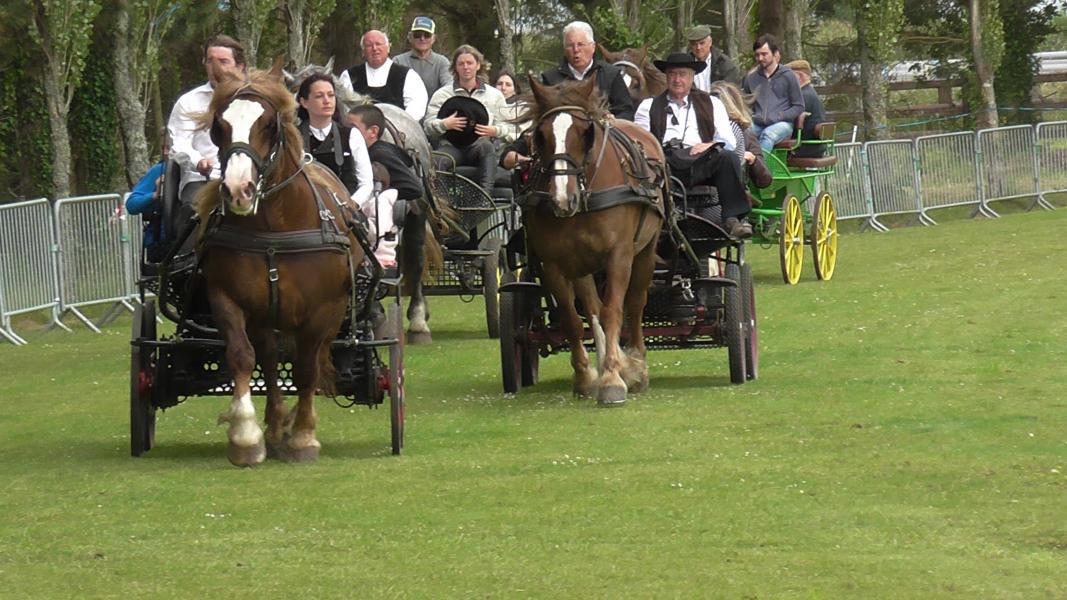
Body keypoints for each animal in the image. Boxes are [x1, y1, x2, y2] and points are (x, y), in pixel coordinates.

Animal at [195, 62, 371, 465]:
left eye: (268, 124)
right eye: (219, 125)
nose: (238, 190)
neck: (274, 228)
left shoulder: (323, 309)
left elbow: (306, 370)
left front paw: (304, 436)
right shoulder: (227, 298)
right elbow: (243, 358)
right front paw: (246, 436)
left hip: (333, 313)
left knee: (313, 359)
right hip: (266, 316)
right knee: (271, 361)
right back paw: (275, 428)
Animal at [518, 74, 661, 401]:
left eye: (585, 132)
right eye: (540, 135)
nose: (562, 199)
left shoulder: (619, 256)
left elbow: (614, 311)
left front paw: (613, 379)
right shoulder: (553, 264)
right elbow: (572, 318)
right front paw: (587, 376)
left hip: (645, 251)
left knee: (636, 303)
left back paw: (637, 365)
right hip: (581, 264)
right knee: (591, 306)